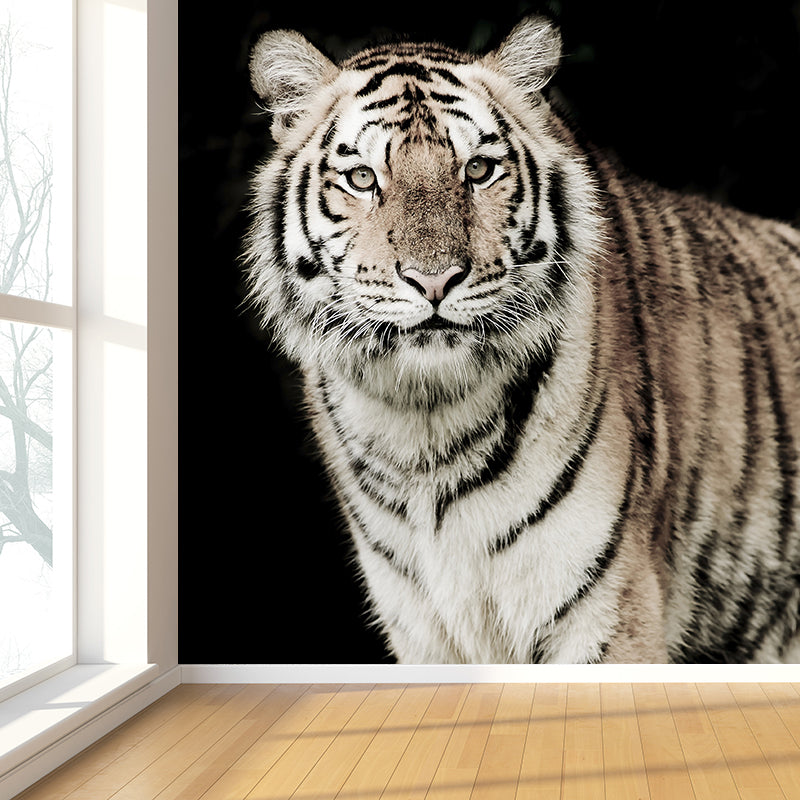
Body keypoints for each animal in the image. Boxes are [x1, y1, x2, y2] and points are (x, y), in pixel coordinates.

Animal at [244, 16, 800, 664]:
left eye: (478, 170)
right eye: (362, 178)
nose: (434, 280)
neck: (423, 428)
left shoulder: (604, 613)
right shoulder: (422, 630)